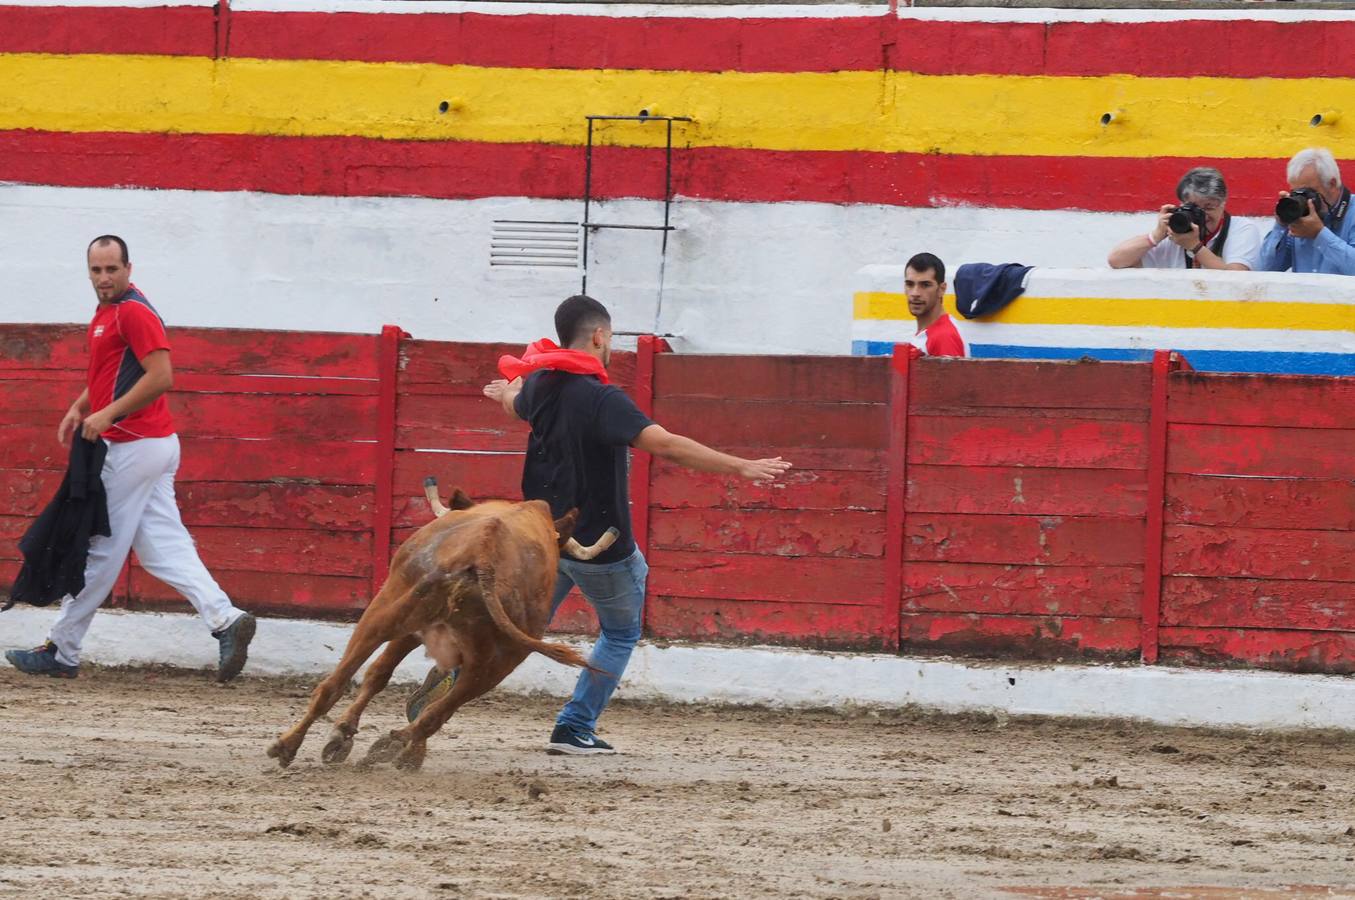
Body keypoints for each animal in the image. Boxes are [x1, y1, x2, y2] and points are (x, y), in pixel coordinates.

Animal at [265, 485, 615, 775]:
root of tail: (482, 553)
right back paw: (399, 748)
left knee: (336, 684)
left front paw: (344, 735)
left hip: (388, 613)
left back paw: (292, 745)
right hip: (495, 658)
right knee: (437, 708)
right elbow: (395, 683)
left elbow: (379, 675)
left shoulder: (409, 630)